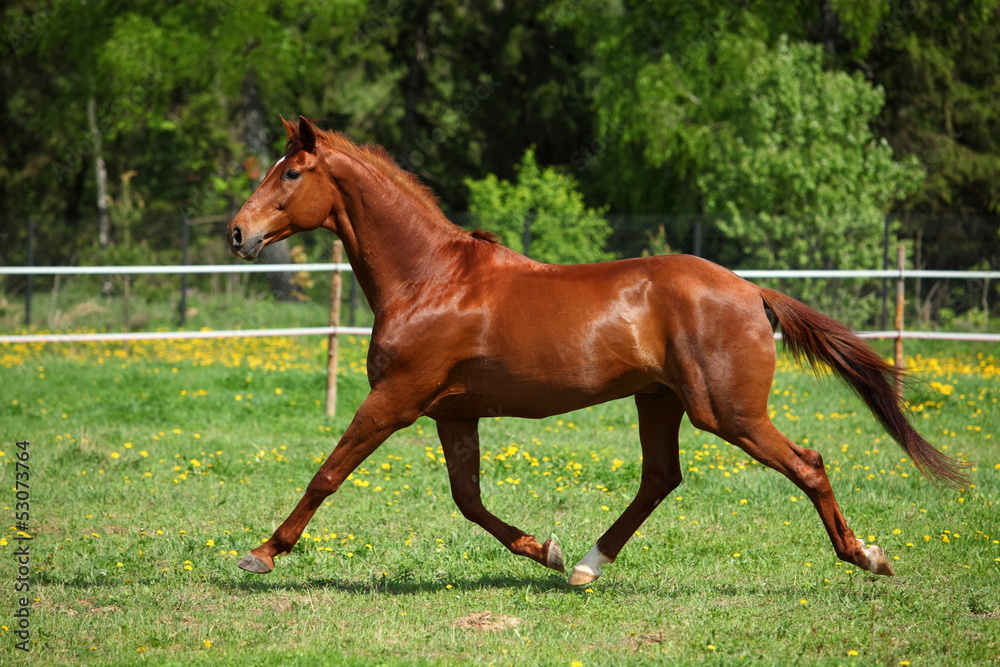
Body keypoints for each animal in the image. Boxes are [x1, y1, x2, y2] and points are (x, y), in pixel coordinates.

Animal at [226, 116, 967, 586]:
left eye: (292, 173)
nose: (238, 234)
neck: (430, 278)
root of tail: (749, 290)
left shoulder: (395, 399)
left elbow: (327, 473)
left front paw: (261, 553)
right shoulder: (452, 412)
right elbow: (468, 500)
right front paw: (547, 551)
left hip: (727, 412)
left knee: (807, 465)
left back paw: (868, 557)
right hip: (660, 401)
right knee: (660, 478)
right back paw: (585, 565)